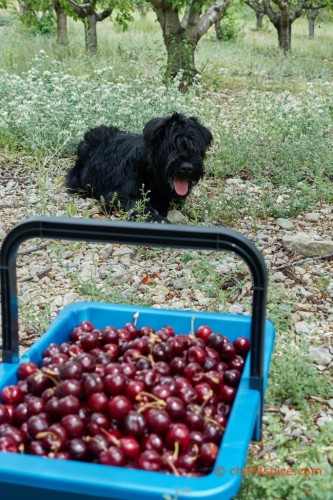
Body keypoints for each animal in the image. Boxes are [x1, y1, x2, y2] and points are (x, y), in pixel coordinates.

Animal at [66, 114, 211, 224]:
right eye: (172, 146)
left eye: (195, 147)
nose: (187, 168)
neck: (153, 175)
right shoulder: (122, 196)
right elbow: (142, 208)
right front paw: (160, 221)